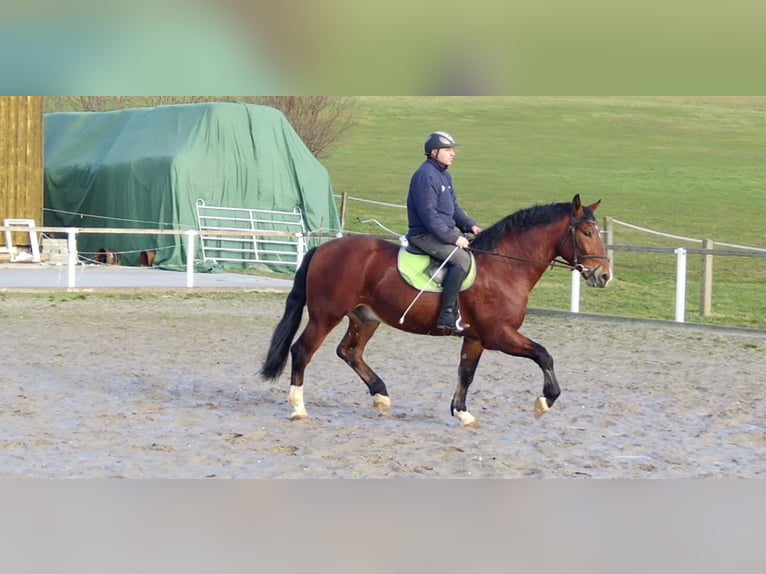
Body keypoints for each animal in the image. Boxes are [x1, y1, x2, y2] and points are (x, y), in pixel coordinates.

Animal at [262, 197, 612, 428]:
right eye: (586, 233)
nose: (604, 275)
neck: (505, 267)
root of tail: (322, 248)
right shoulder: (499, 335)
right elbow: (543, 355)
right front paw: (544, 402)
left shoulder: (475, 338)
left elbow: (466, 373)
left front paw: (462, 412)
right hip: (326, 315)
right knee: (303, 350)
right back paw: (298, 407)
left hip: (365, 317)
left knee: (349, 351)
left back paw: (381, 396)